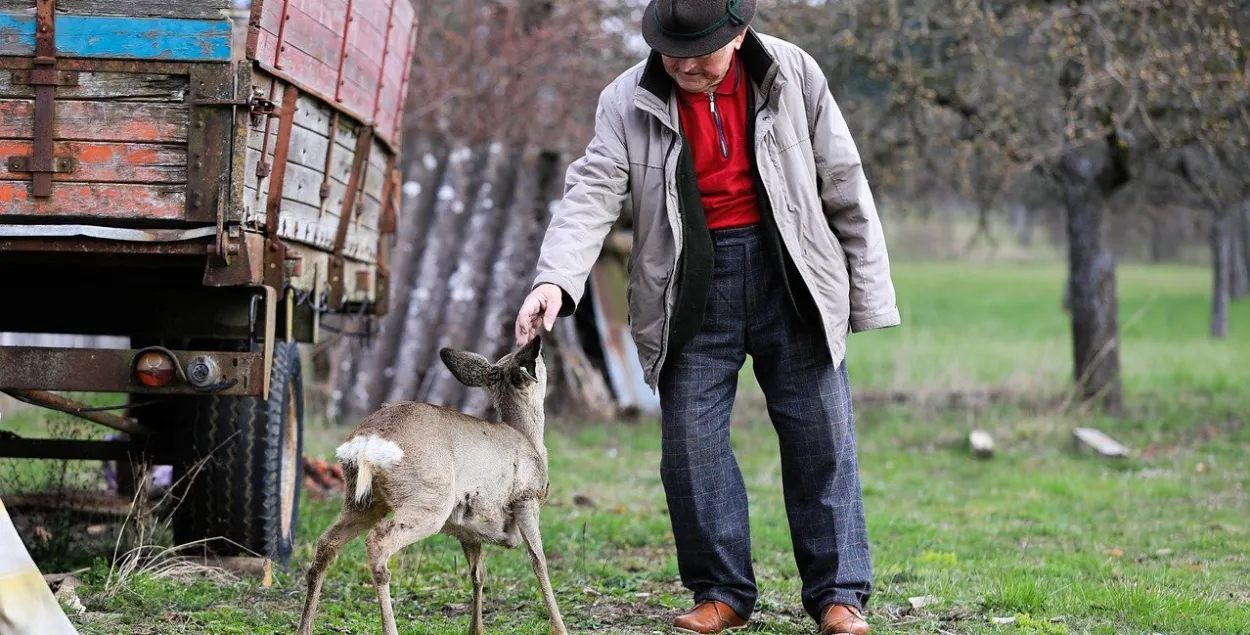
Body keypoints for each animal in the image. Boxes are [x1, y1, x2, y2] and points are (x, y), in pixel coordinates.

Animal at [295, 340, 570, 635]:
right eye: (539, 359)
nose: (543, 349)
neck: (531, 443)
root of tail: (367, 443)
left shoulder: (468, 528)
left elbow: (477, 574)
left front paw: (476, 629)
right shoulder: (526, 497)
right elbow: (539, 561)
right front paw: (560, 628)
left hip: (361, 501)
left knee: (326, 544)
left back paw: (304, 628)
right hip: (430, 501)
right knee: (378, 542)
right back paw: (390, 628)